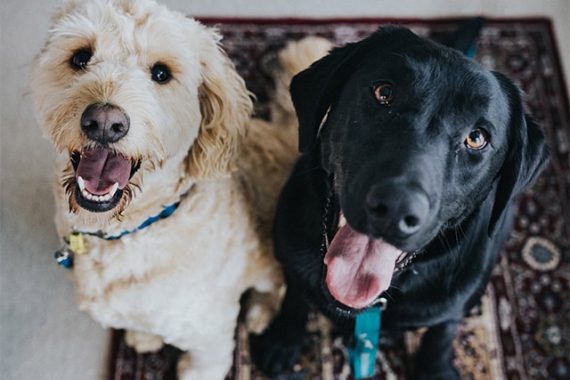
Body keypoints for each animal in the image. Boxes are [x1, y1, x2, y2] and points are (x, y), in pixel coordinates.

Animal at [31, 1, 330, 378]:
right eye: (81, 57)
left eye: (161, 73)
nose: (104, 122)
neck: (135, 229)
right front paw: (144, 336)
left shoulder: (209, 335)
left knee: (277, 285)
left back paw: (260, 312)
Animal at [252, 25, 544, 378]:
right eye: (384, 93)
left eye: (477, 138)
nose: (395, 208)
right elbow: (295, 296)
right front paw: (282, 339)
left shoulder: (454, 302)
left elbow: (442, 331)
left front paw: (435, 368)